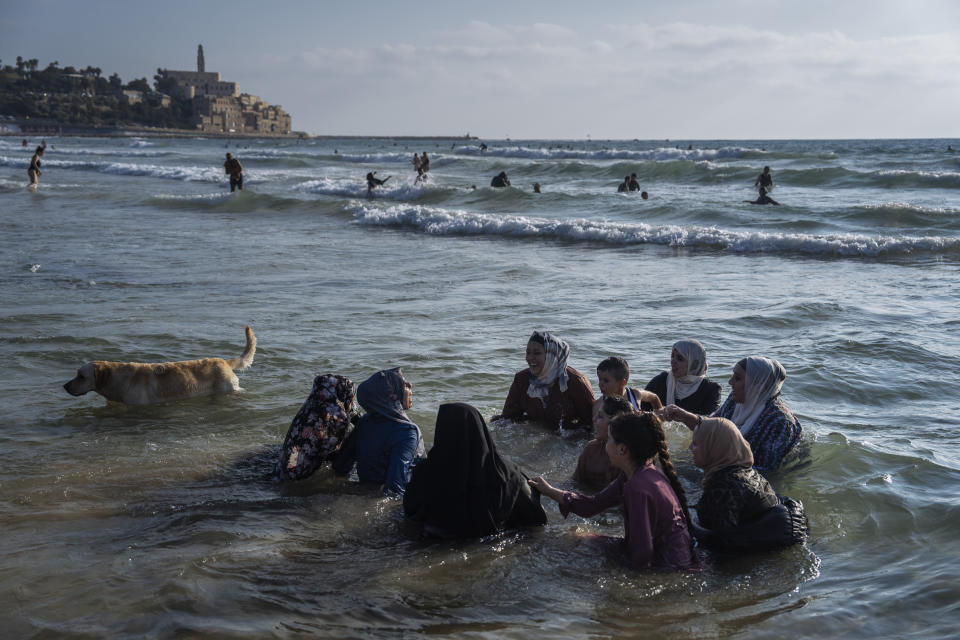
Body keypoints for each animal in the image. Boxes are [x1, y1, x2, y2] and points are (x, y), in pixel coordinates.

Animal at [65, 324, 256, 404]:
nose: (64, 386)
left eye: (81, 376)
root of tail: (224, 362)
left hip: (228, 388)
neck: (117, 380)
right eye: (76, 374)